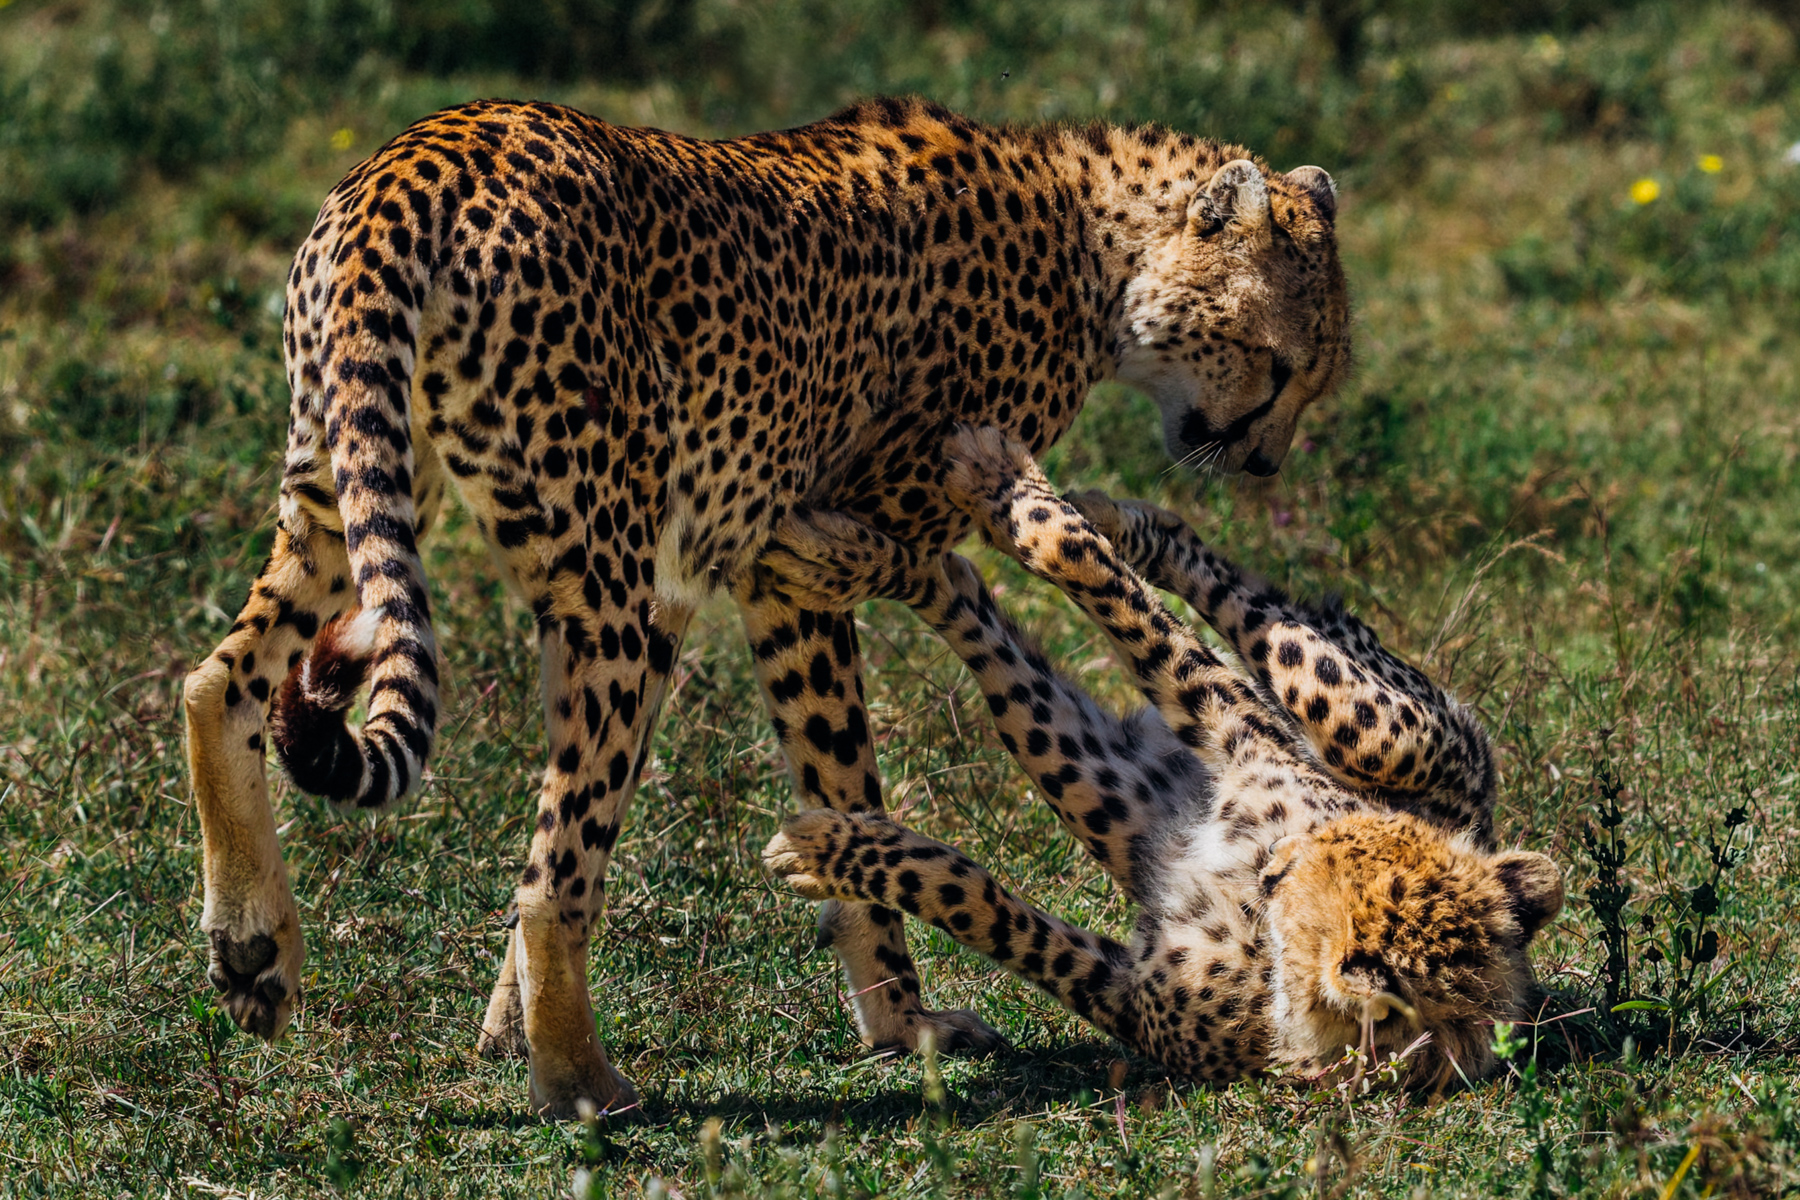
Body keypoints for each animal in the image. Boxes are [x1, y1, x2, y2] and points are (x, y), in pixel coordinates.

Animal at [178, 96, 1350, 1117]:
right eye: (1274, 360)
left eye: (1314, 383)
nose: (1263, 462)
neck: (1095, 241)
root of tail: (425, 151)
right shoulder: (783, 565)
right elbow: (840, 769)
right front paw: (904, 1026)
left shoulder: (703, 576)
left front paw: (503, 1026)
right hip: (604, 580)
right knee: (558, 873)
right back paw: (581, 1083)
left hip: (351, 488)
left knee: (221, 683)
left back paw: (253, 946)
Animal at [759, 427, 1564, 1088]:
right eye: (1336, 847)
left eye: (1300, 881)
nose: (1271, 864)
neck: (1270, 954)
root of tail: (1478, 817)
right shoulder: (1244, 735)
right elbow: (1117, 590)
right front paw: (1026, 497)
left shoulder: (1122, 992)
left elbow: (978, 901)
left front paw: (822, 852)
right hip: (1357, 728)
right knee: (1249, 611)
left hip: (1104, 776)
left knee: (998, 647)